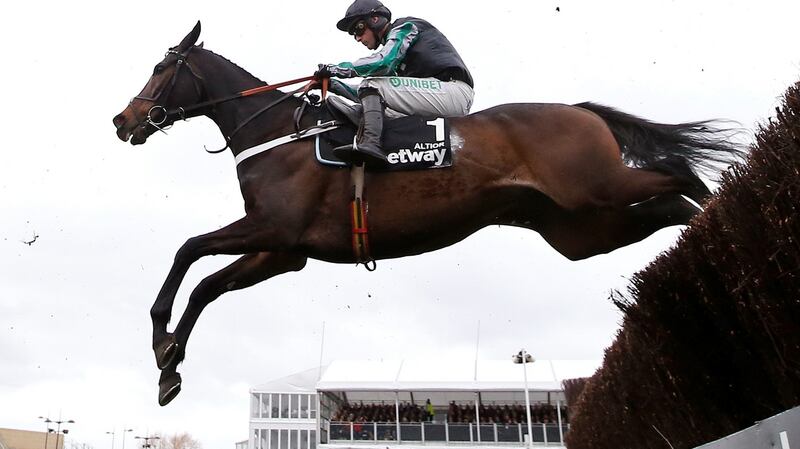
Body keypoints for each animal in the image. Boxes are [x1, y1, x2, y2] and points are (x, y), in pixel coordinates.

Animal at [111, 21, 736, 406]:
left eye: (162, 67)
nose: (123, 121)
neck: (277, 131)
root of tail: (580, 110)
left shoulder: (274, 228)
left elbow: (188, 251)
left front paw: (161, 338)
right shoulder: (281, 251)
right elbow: (205, 286)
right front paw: (170, 365)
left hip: (596, 186)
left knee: (681, 171)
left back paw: (723, 216)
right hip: (581, 228)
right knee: (669, 202)